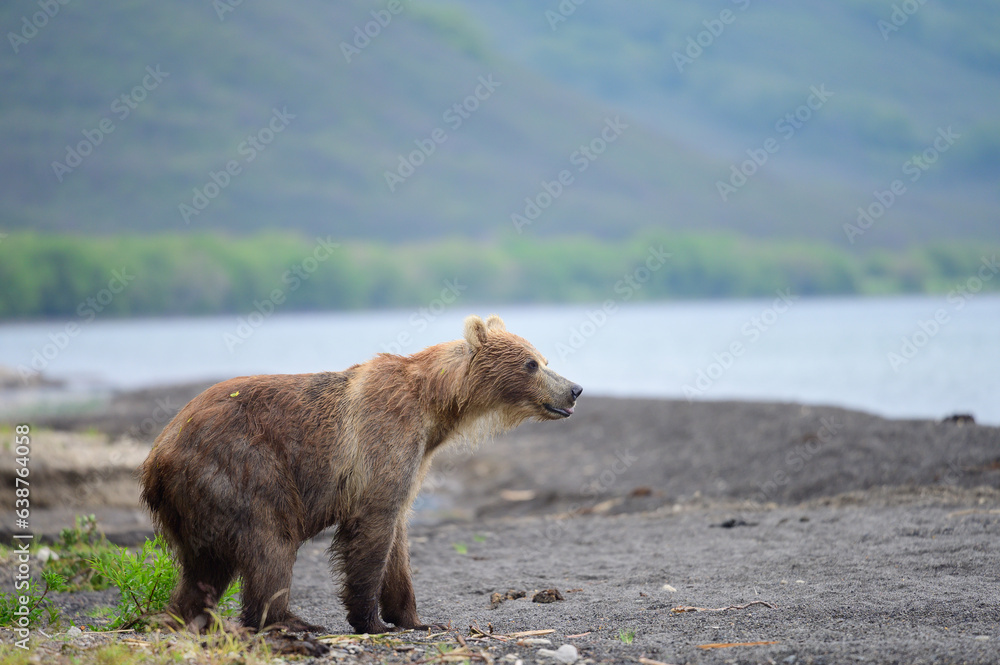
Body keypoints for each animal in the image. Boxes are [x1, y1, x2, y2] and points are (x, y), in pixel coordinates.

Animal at [139, 314, 582, 634]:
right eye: (531, 363)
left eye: (544, 360)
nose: (574, 389)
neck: (436, 407)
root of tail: (157, 455)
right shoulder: (381, 443)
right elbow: (372, 533)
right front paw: (372, 622)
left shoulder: (415, 460)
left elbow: (398, 542)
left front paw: (417, 618)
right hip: (242, 464)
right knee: (270, 541)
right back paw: (289, 621)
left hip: (198, 500)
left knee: (203, 569)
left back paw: (183, 617)